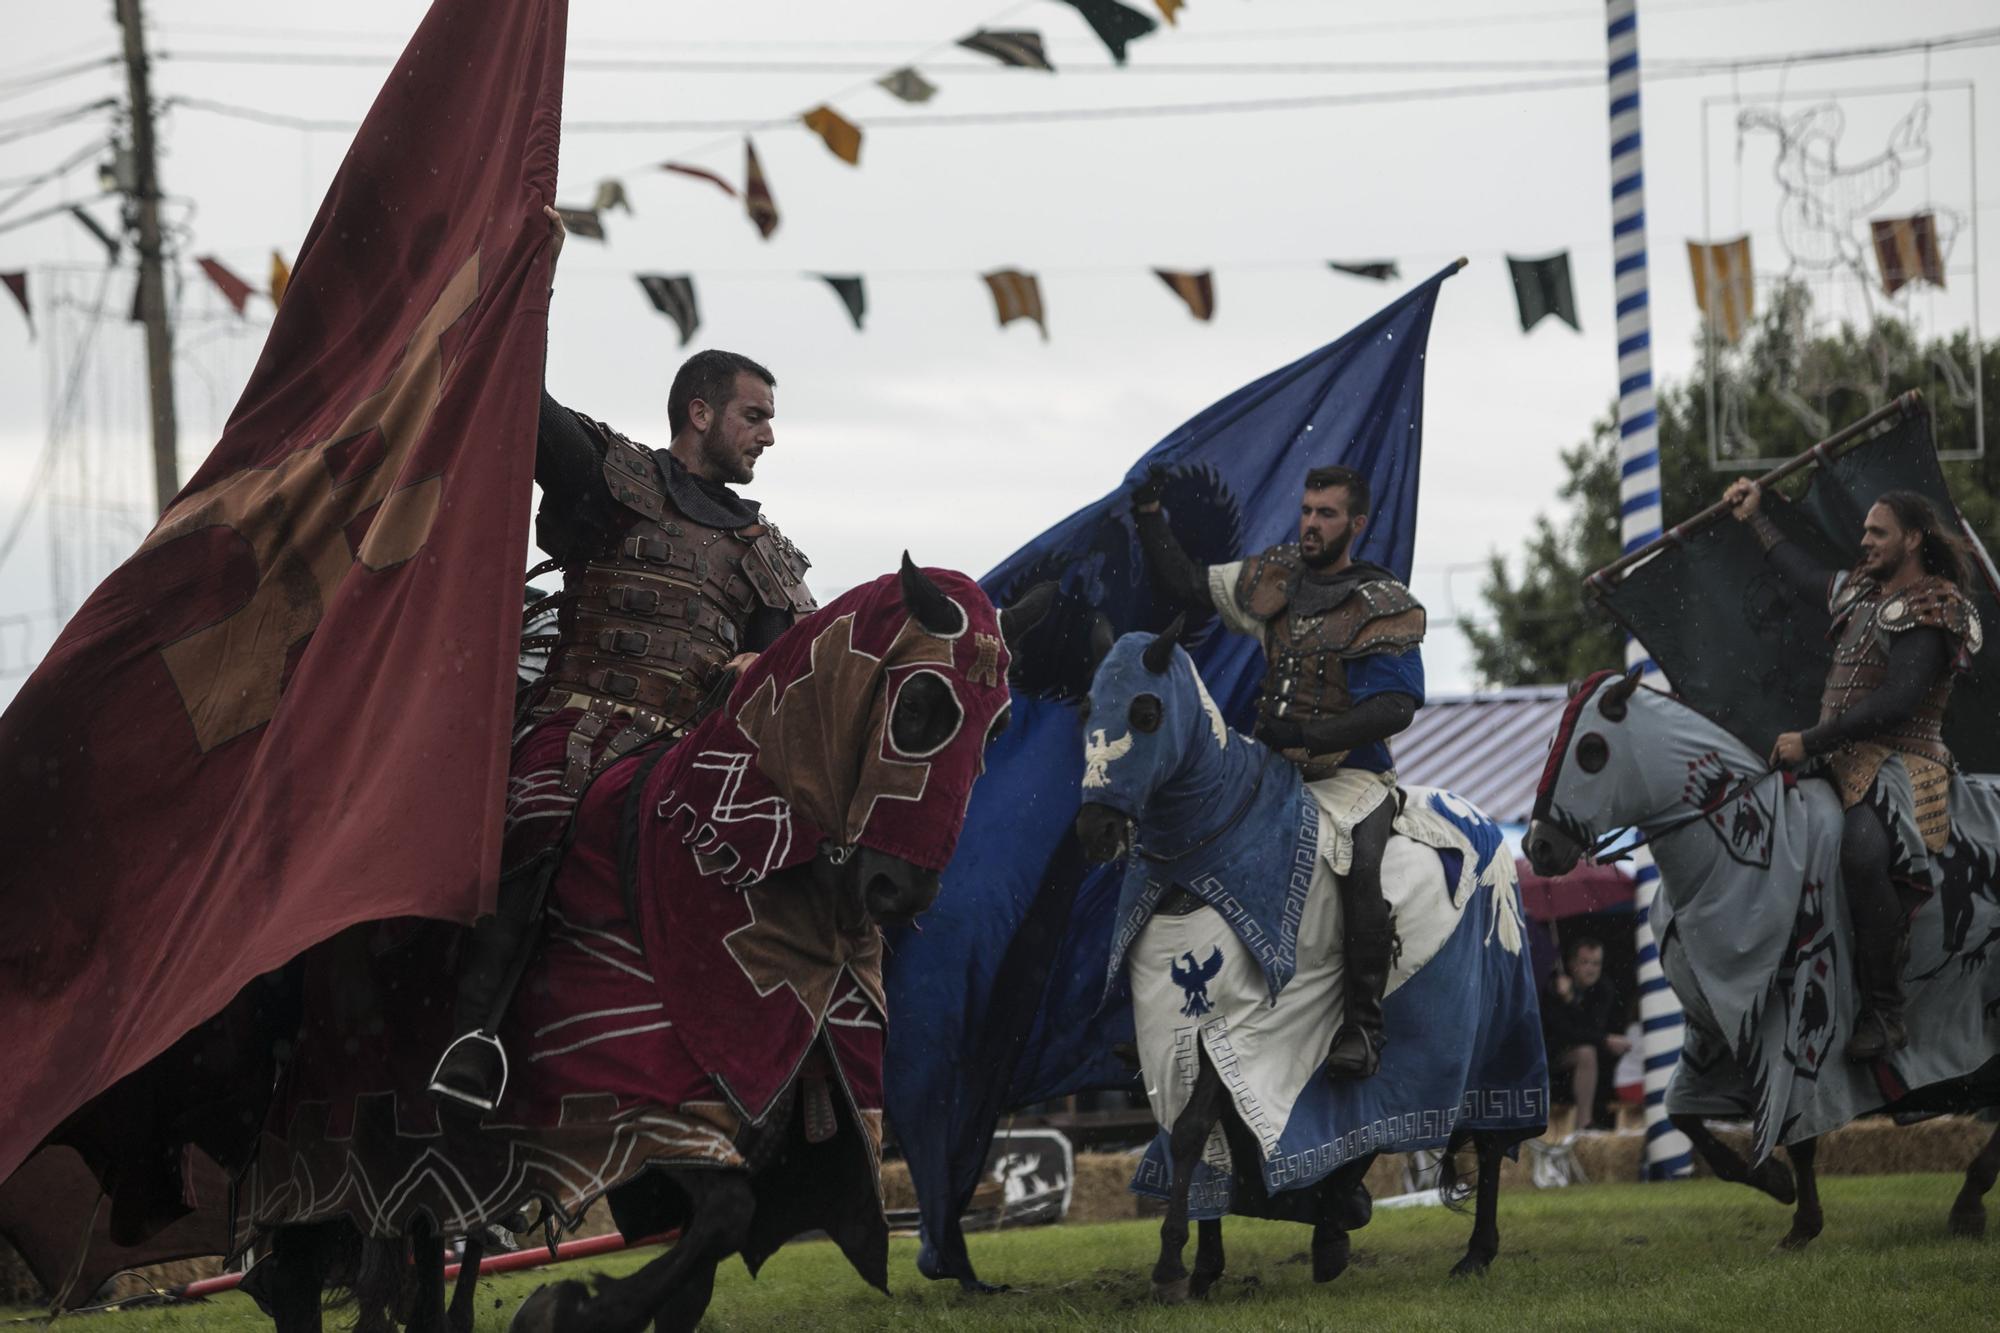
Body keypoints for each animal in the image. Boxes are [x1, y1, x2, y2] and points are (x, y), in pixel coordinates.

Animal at [1528, 668, 2000, 1240]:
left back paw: (1970, 1199)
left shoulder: (1799, 1013)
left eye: (1592, 750)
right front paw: (1776, 1184)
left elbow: (1797, 1125)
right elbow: (1684, 1114)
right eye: (1551, 744)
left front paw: (1804, 1221)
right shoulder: (1711, 1028)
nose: (1537, 848)